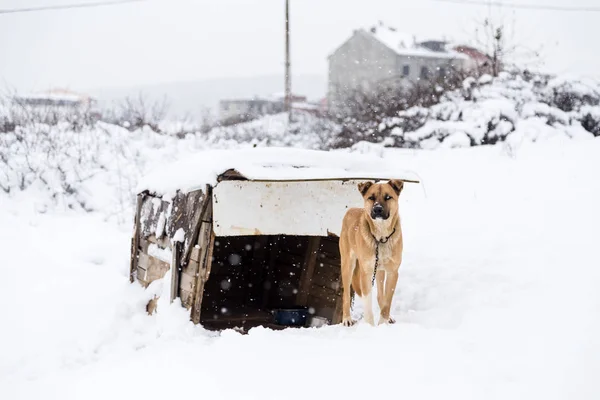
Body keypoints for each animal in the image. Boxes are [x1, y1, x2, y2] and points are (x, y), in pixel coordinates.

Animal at [340, 180, 406, 326]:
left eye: (388, 197)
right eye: (371, 197)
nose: (377, 209)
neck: (381, 237)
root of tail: (351, 209)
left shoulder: (393, 272)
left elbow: (387, 301)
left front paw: (383, 323)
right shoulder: (366, 273)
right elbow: (367, 303)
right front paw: (369, 326)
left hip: (380, 270)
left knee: (380, 295)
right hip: (348, 265)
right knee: (346, 294)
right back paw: (347, 319)